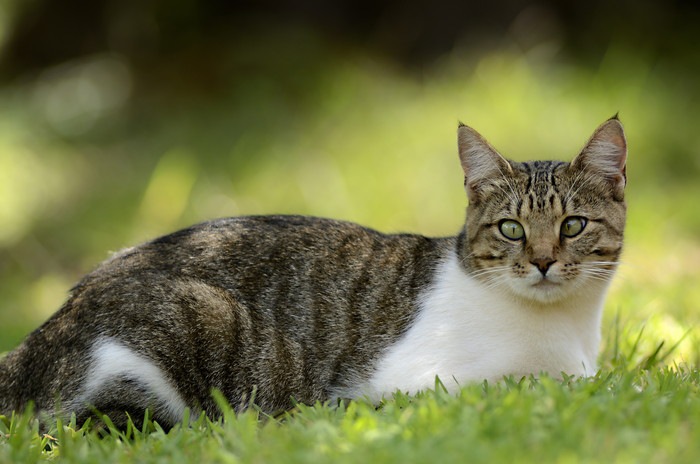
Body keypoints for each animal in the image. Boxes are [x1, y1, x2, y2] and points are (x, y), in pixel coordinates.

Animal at [0, 118, 628, 430]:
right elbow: (533, 382)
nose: (543, 261)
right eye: (512, 229)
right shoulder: (418, 381)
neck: (559, 328)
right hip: (192, 318)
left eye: (572, 225)